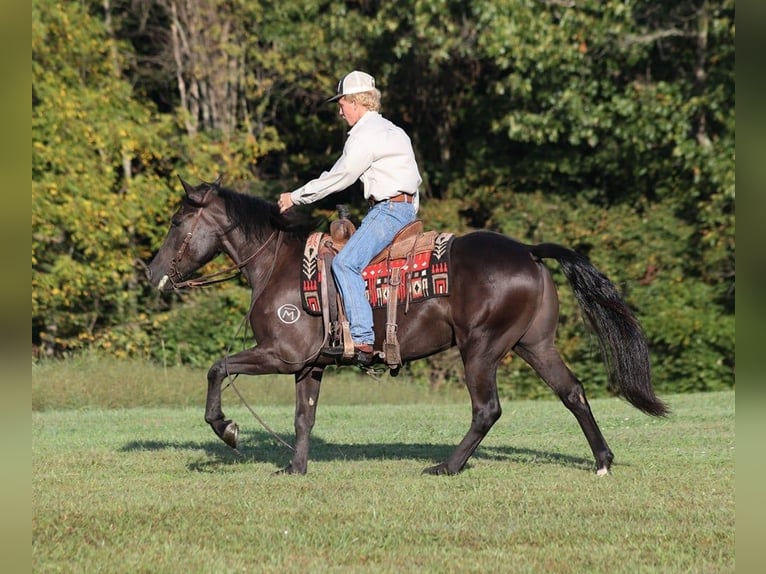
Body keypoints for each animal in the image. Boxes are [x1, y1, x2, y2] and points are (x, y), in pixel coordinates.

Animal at [148, 178, 664, 480]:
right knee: (572, 392)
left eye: (176, 221)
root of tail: (529, 252)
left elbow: (218, 369)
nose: (152, 272)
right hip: (534, 344)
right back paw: (602, 461)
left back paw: (446, 467)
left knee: (487, 409)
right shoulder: (309, 366)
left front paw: (228, 429)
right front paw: (295, 468)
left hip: (481, 349)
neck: (278, 267)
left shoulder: (279, 354)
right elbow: (303, 417)